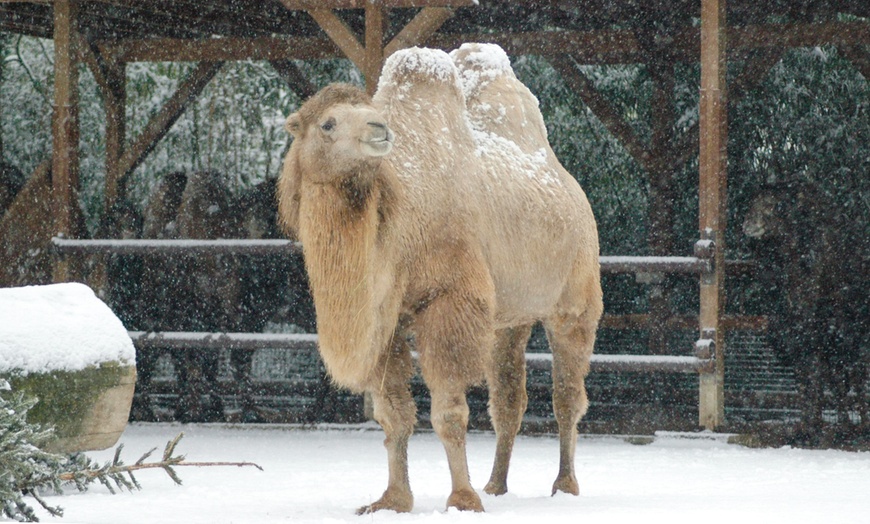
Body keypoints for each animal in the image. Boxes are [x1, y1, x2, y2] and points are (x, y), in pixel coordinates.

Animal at [276, 45, 604, 512]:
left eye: (372, 112)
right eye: (328, 122)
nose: (379, 129)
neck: (405, 213)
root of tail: (570, 185)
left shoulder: (450, 300)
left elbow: (448, 412)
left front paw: (463, 500)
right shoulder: (386, 318)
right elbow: (393, 414)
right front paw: (392, 500)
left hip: (575, 297)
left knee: (566, 396)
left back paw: (565, 485)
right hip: (508, 317)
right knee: (509, 399)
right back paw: (496, 485)